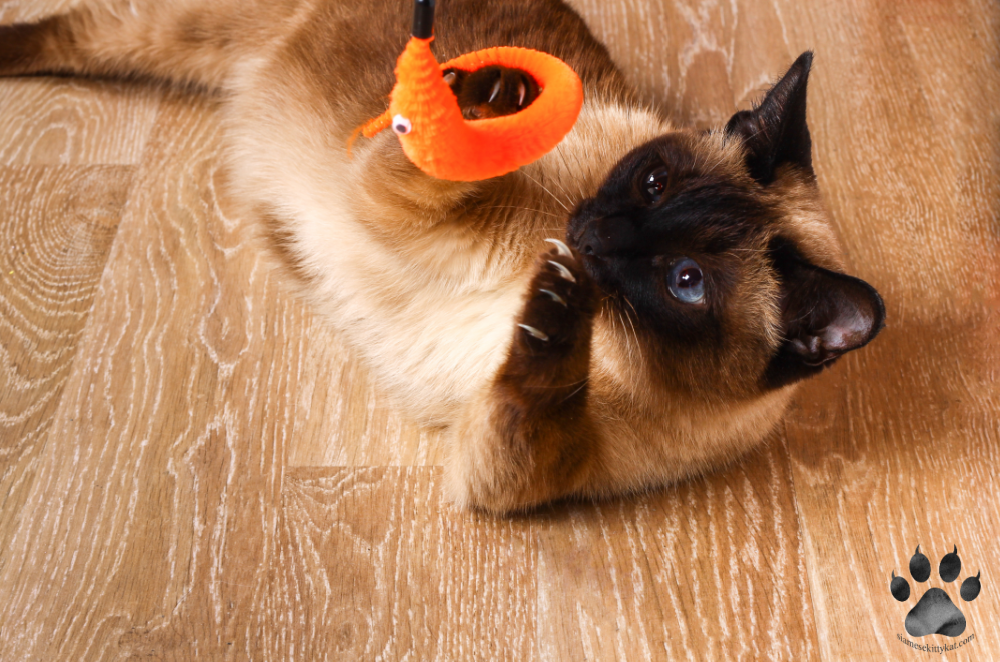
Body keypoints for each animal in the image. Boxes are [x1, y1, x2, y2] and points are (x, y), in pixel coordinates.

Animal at [5, 0, 884, 512]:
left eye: (686, 282)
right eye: (653, 180)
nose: (593, 240)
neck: (615, 353)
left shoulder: (506, 466)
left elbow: (536, 389)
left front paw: (554, 310)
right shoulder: (390, 206)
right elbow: (434, 164)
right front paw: (486, 103)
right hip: (185, 33)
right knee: (76, 31)